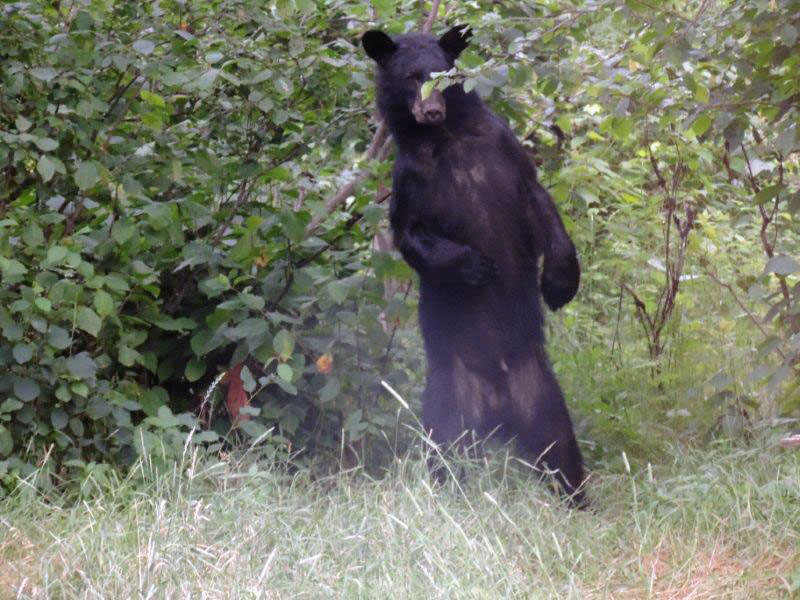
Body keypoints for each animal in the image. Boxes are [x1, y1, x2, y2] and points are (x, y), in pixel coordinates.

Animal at [363, 25, 586, 504]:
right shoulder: (409, 178)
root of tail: (500, 413)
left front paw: (560, 282)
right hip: (450, 400)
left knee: (561, 450)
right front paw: (472, 266)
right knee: (444, 451)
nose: (430, 110)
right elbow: (410, 235)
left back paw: (578, 499)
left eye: (444, 75)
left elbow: (539, 201)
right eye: (410, 77)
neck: (447, 138)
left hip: (543, 396)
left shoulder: (504, 150)